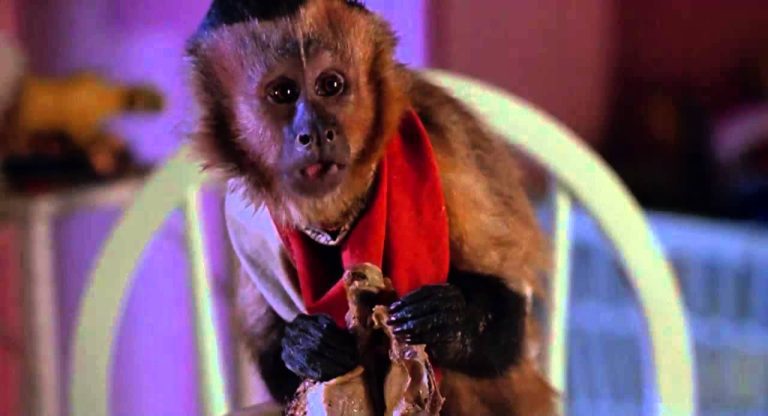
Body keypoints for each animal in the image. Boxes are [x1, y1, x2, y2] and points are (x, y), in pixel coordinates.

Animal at [185, 1, 557, 414]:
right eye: (282, 92)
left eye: (330, 85)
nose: (315, 133)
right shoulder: (243, 214)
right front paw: (304, 346)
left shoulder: (446, 143)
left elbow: (511, 319)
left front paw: (448, 322)